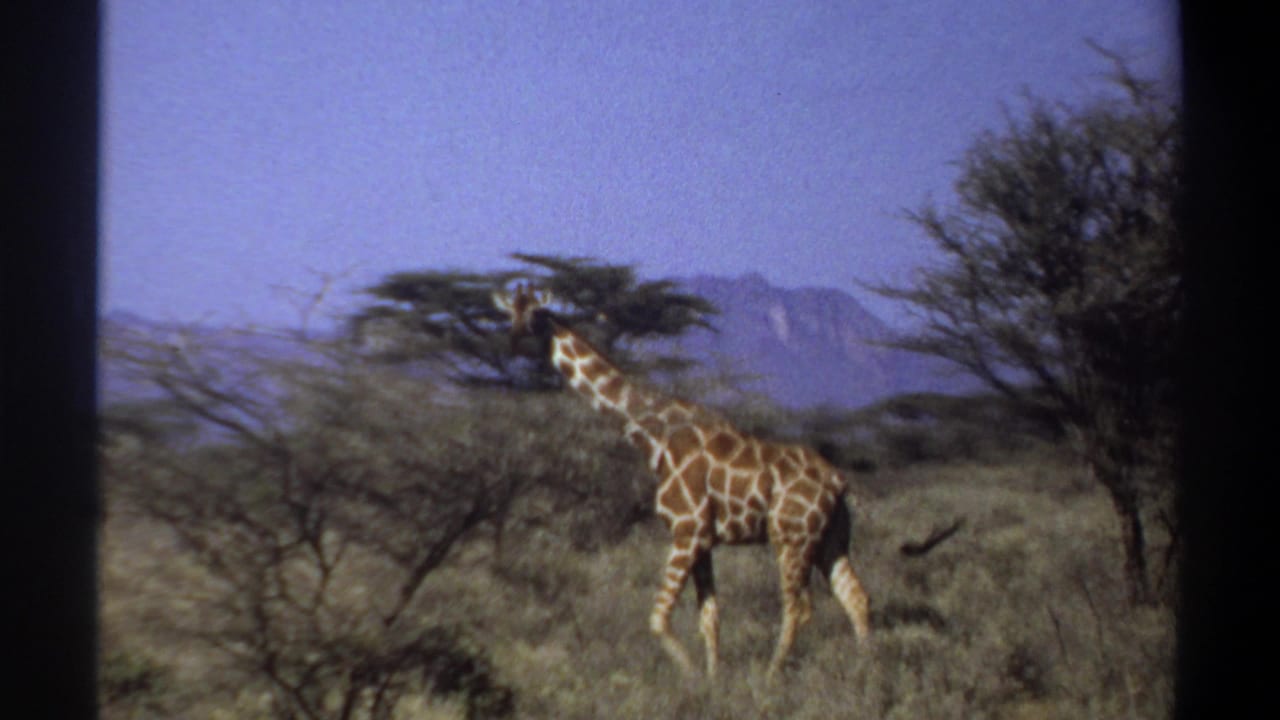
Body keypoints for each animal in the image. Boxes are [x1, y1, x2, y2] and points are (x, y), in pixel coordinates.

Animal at [492, 284, 871, 681]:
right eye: (509, 313)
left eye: (536, 313)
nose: (514, 340)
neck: (654, 435)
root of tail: (839, 481)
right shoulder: (703, 540)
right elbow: (710, 618)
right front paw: (713, 679)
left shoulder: (686, 531)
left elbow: (658, 618)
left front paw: (691, 675)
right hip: (830, 537)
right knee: (856, 596)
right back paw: (868, 669)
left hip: (791, 537)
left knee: (799, 607)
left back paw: (771, 676)